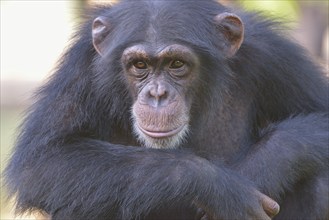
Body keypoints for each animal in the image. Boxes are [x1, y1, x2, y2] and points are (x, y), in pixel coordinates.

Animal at [3, 0, 326, 220]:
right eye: (139, 65)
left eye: (177, 64)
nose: (157, 94)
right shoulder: (82, 65)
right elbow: (46, 161)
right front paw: (221, 188)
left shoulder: (272, 53)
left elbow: (321, 114)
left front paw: (261, 168)